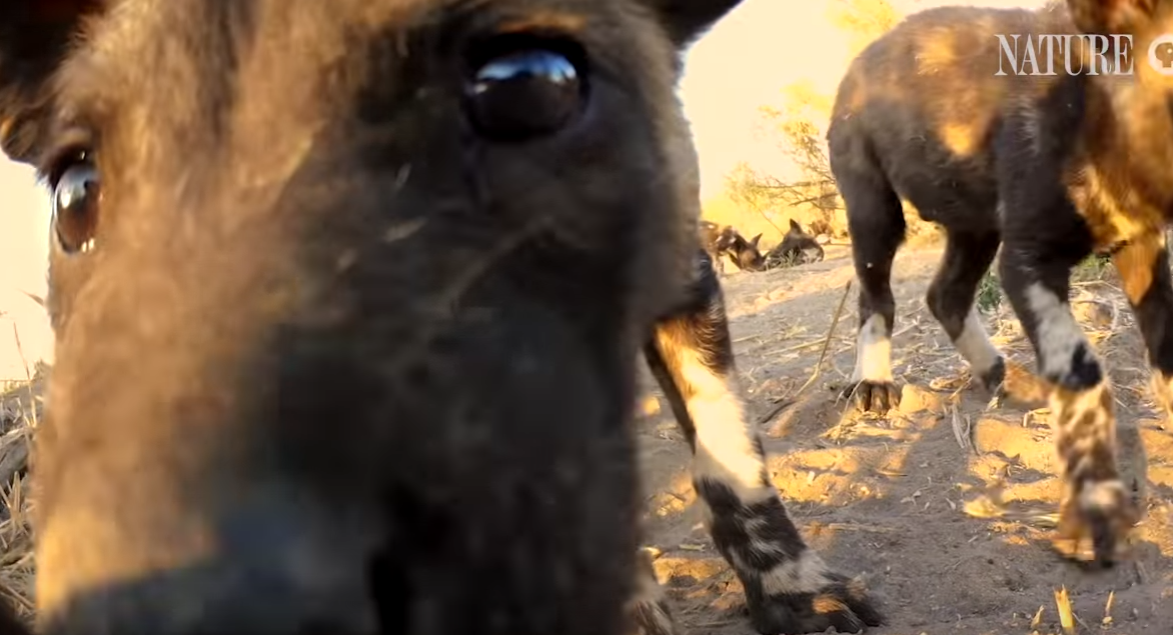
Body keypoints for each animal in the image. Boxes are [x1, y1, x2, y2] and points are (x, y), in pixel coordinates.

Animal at [2, 1, 882, 633]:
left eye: (530, 84)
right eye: (76, 194)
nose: (207, 600)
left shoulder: (682, 286)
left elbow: (730, 457)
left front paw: (791, 588)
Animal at [825, 0, 1173, 563]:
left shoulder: (1142, 247)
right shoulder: (1028, 261)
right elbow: (1085, 379)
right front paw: (1094, 509)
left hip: (975, 225)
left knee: (946, 295)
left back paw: (1001, 377)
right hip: (874, 209)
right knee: (877, 297)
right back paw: (874, 381)